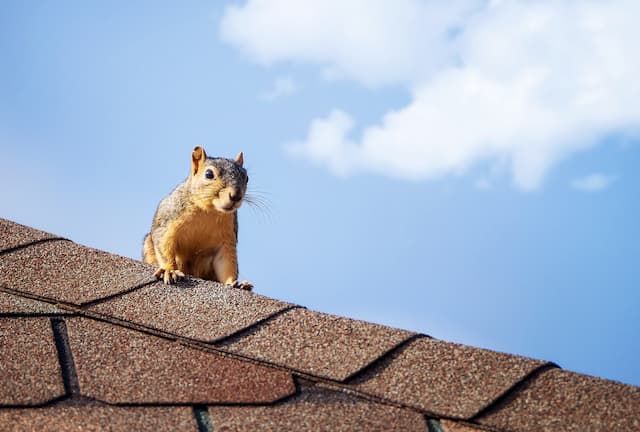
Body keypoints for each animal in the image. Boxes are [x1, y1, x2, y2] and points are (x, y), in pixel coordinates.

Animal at [142, 146, 252, 290]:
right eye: (209, 174)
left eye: (247, 177)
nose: (236, 196)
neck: (209, 211)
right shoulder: (168, 222)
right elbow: (164, 245)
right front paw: (170, 270)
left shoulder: (227, 239)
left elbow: (226, 262)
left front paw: (234, 282)